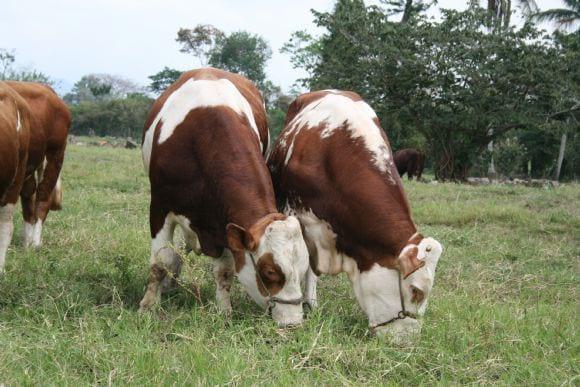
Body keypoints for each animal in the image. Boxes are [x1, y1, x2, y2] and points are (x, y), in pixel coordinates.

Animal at [139, 67, 310, 328]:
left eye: (302, 270)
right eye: (269, 272)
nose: (292, 322)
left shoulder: (225, 223)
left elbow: (225, 272)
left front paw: (224, 310)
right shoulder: (160, 207)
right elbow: (160, 262)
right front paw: (148, 306)